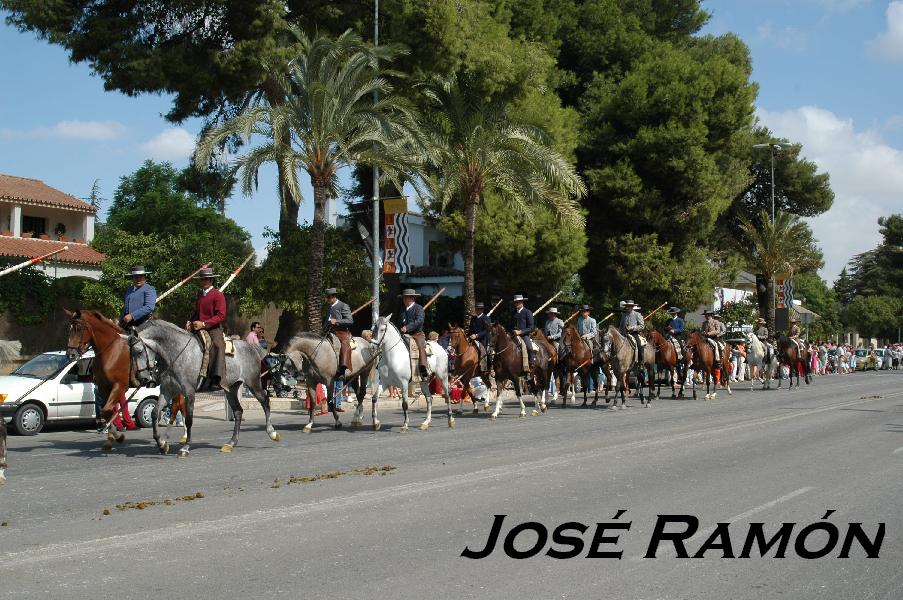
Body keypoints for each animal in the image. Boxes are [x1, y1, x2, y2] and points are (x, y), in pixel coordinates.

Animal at [127, 318, 276, 454]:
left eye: (139, 351)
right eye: (131, 353)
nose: (143, 378)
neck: (177, 352)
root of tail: (251, 347)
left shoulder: (189, 392)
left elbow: (189, 419)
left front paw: (185, 447)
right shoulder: (168, 390)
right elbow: (154, 413)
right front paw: (162, 444)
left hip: (253, 383)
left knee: (265, 401)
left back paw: (272, 432)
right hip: (232, 389)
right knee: (238, 411)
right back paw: (231, 443)